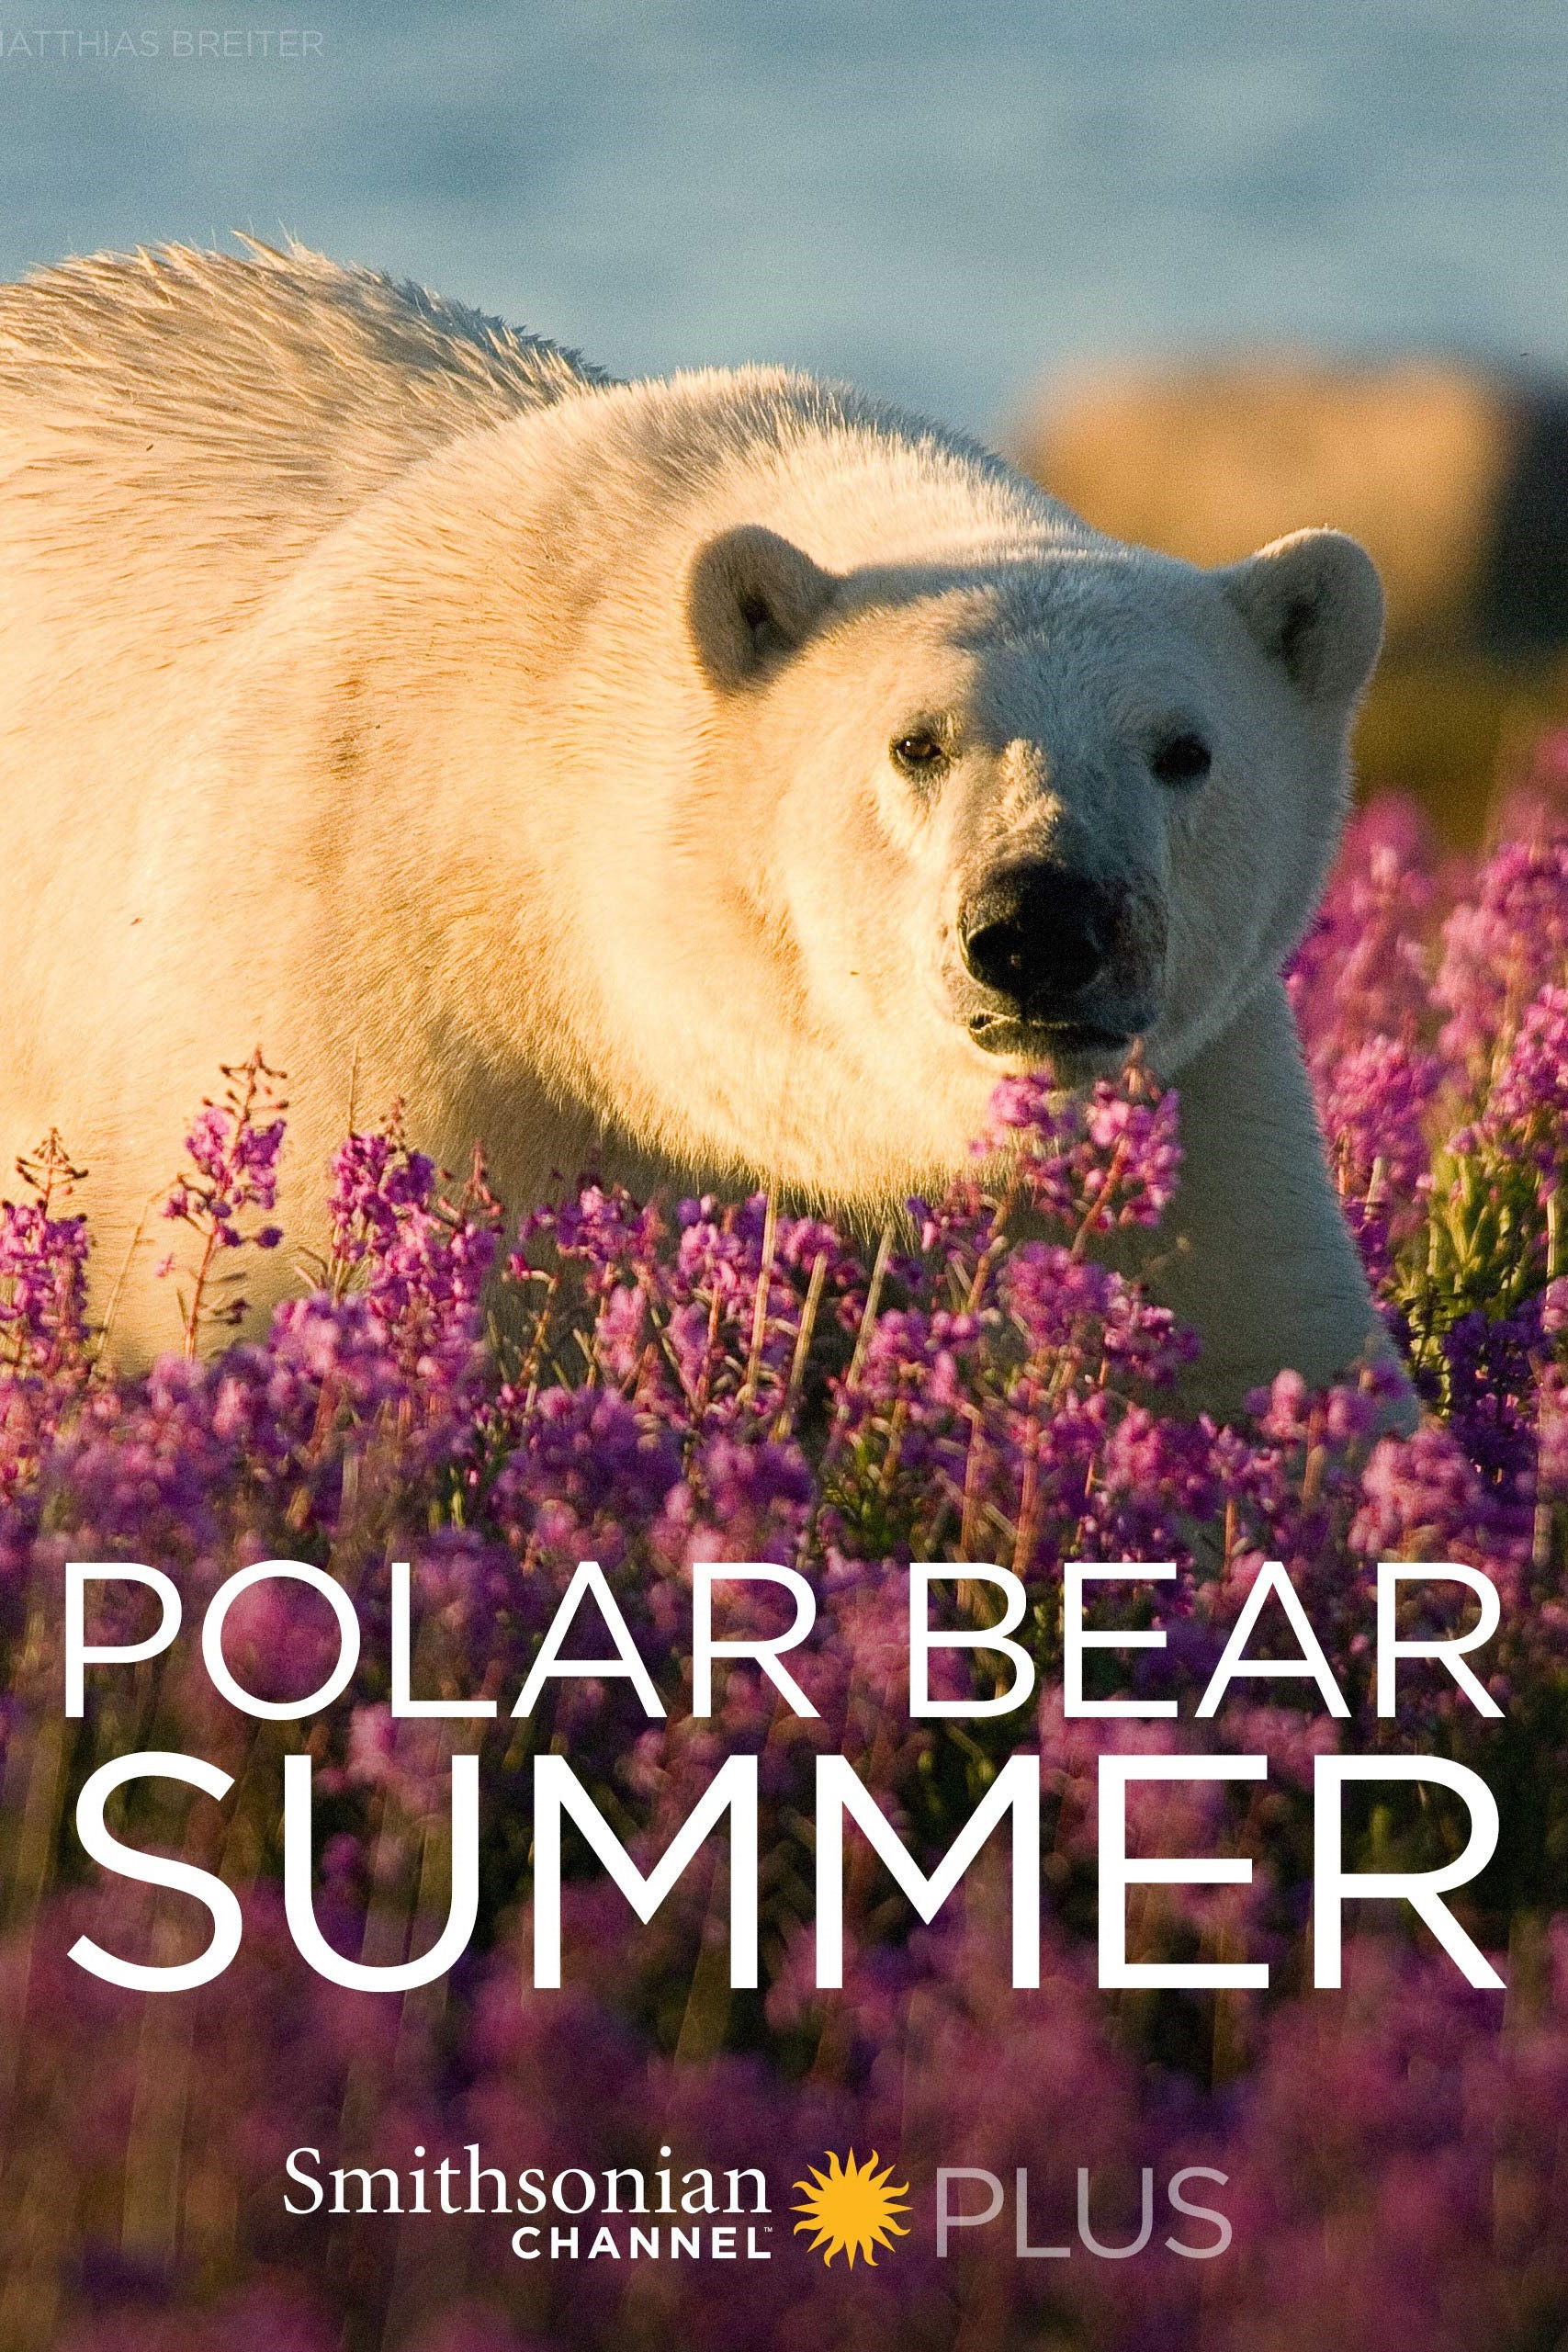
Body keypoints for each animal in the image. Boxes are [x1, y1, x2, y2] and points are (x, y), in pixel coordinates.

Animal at [0, 240, 1394, 1415]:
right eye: (917, 742)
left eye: (1183, 751)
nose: (1041, 924)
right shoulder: (368, 962)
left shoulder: (1184, 1096)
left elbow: (1265, 1343)